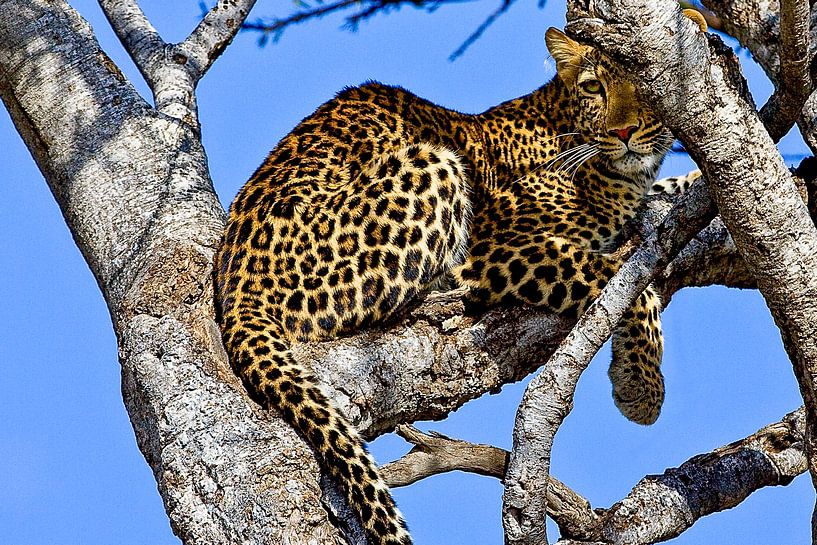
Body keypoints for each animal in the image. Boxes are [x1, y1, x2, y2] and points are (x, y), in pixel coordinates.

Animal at [214, 26, 698, 545]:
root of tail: (237, 285)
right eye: (593, 88)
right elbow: (628, 284)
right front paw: (642, 388)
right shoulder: (494, 248)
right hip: (435, 165)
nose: (624, 134)